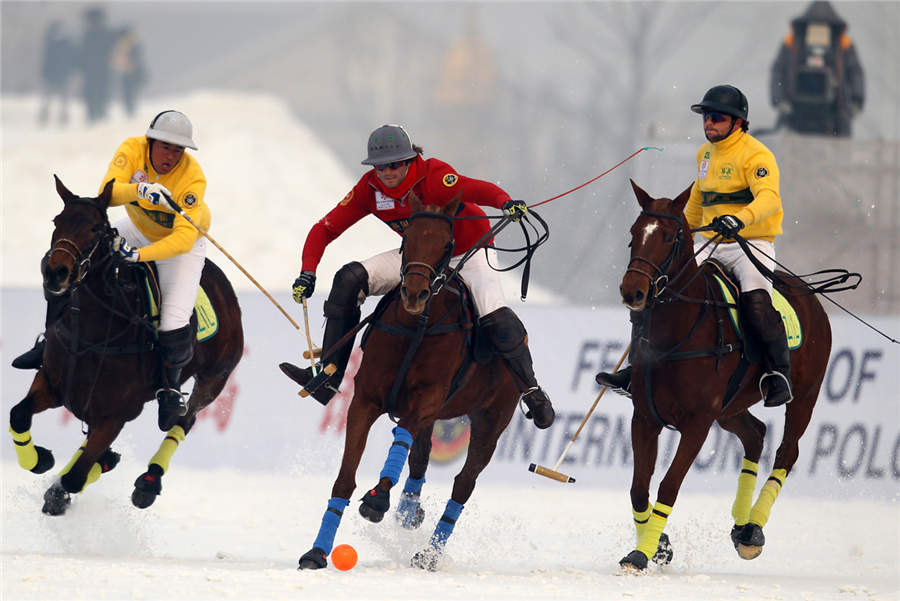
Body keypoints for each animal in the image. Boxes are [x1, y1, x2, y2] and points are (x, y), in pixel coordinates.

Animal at [7, 176, 244, 512]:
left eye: (96, 228)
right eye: (57, 221)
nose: (55, 273)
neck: (92, 335)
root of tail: (221, 280)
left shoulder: (117, 414)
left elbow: (76, 478)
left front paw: (62, 485)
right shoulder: (52, 383)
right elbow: (19, 414)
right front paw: (42, 460)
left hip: (215, 377)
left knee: (186, 418)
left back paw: (148, 481)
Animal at [298, 192, 520, 572]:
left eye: (447, 243)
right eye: (407, 241)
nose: (415, 294)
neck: (416, 326)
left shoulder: (426, 400)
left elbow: (400, 440)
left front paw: (378, 499)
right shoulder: (365, 401)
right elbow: (345, 478)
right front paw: (317, 552)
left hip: (491, 421)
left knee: (463, 483)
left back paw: (428, 554)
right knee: (421, 457)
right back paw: (409, 509)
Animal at [616, 180, 832, 568]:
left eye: (670, 236)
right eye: (634, 233)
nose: (632, 292)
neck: (676, 333)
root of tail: (810, 293)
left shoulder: (698, 423)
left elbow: (668, 485)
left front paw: (643, 552)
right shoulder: (645, 417)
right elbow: (639, 487)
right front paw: (658, 546)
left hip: (804, 396)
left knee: (786, 451)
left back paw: (753, 530)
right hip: (730, 407)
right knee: (755, 435)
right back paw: (741, 526)